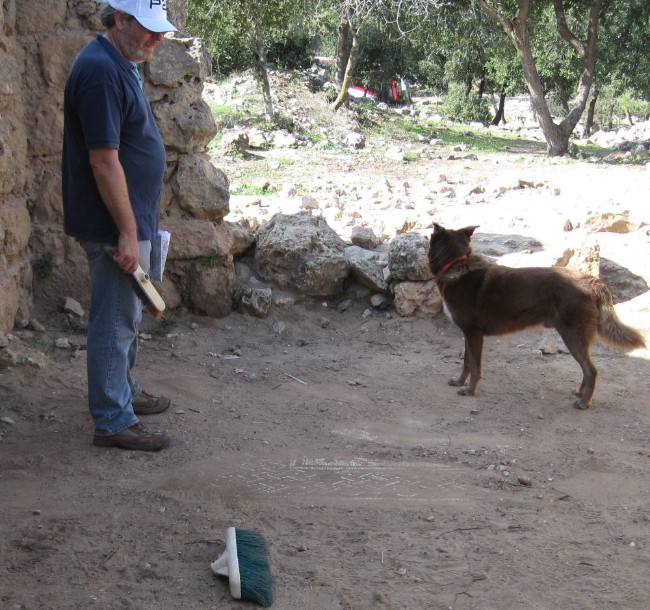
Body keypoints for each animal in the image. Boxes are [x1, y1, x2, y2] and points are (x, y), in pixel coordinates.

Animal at [426, 221, 644, 406]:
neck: (455, 263)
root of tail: (592, 281)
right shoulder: (468, 334)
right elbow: (466, 363)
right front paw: (460, 381)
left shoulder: (473, 334)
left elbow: (475, 367)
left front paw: (470, 390)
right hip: (578, 339)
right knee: (587, 369)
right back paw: (580, 393)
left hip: (573, 337)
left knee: (591, 370)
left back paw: (584, 403)